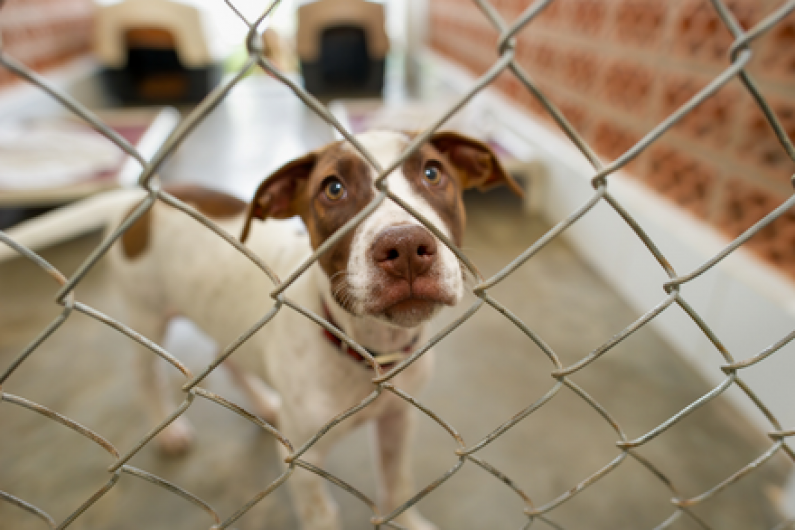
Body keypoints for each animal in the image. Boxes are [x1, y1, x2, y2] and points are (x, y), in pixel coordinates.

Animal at [112, 129, 524, 528]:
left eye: (433, 173)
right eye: (333, 188)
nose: (406, 246)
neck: (367, 351)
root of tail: (142, 200)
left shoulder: (398, 419)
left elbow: (398, 483)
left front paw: (409, 523)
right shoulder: (302, 464)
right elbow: (322, 515)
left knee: (224, 357)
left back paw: (265, 404)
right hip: (145, 315)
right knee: (145, 375)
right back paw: (168, 432)